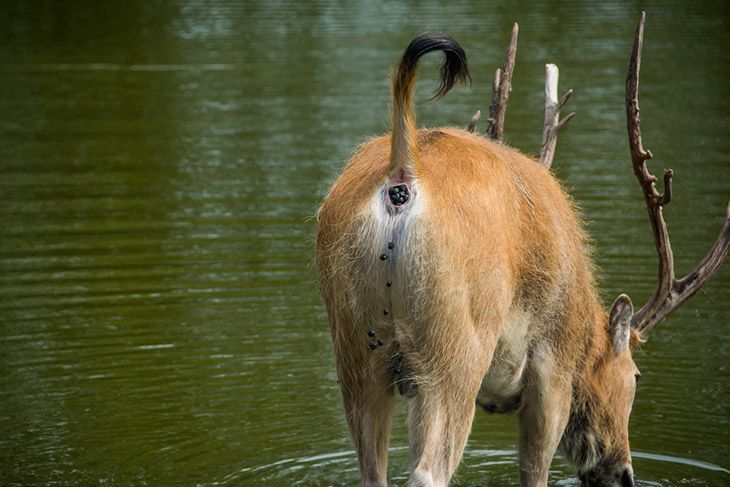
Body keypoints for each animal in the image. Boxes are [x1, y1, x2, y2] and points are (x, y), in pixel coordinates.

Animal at [312, 12, 724, 487]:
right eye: (635, 376)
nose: (623, 473)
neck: (583, 322)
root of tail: (404, 170)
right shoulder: (552, 365)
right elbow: (533, 469)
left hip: (356, 344)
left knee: (371, 469)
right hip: (455, 344)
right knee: (428, 470)